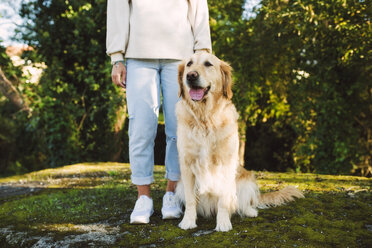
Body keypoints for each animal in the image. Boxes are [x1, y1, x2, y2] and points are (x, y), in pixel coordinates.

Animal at [176, 52, 304, 232]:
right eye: (189, 64)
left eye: (208, 64)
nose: (191, 76)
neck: (205, 118)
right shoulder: (187, 164)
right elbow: (190, 200)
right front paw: (188, 221)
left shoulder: (226, 163)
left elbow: (224, 200)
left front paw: (223, 223)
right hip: (179, 185)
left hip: (246, 181)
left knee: (242, 203)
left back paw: (250, 211)